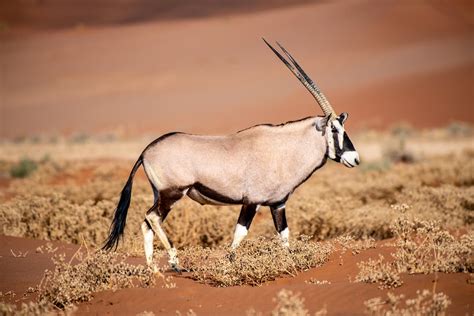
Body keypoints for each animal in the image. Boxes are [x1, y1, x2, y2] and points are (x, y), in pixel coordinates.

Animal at [103, 39, 362, 272]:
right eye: (334, 129)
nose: (355, 158)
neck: (282, 149)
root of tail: (146, 150)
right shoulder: (252, 201)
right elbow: (240, 233)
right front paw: (229, 263)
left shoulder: (278, 204)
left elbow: (284, 236)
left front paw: (292, 263)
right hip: (172, 193)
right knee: (153, 218)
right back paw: (175, 263)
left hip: (160, 194)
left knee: (146, 222)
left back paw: (152, 269)